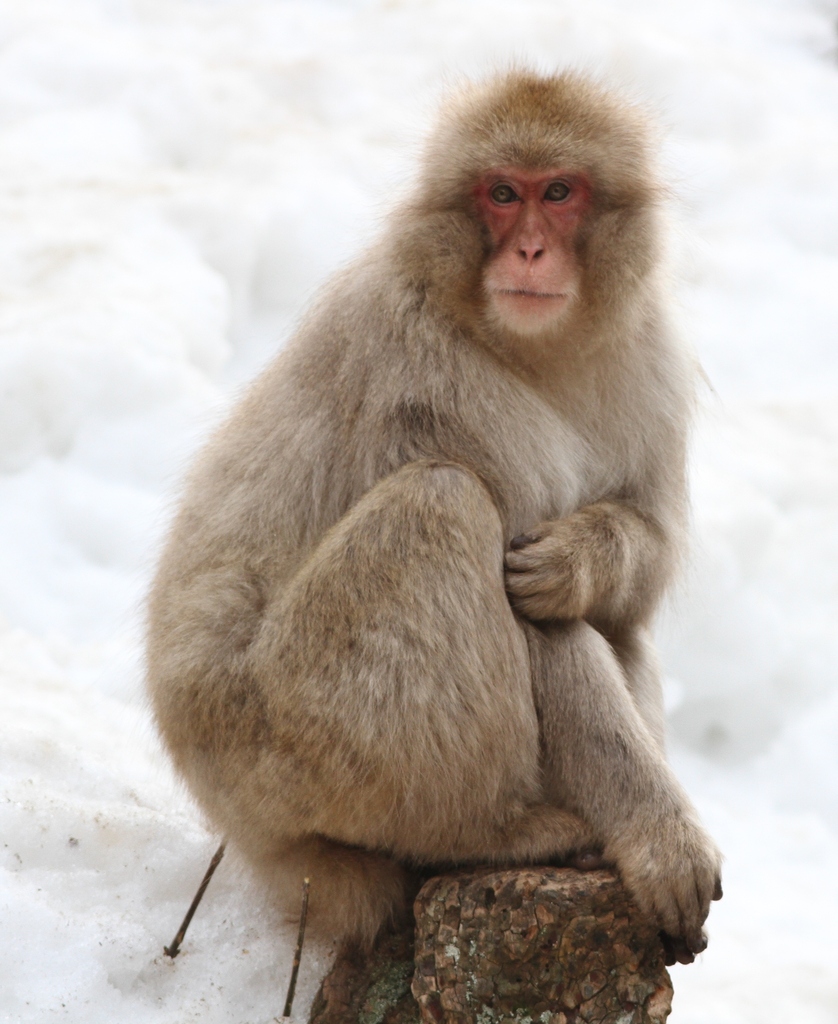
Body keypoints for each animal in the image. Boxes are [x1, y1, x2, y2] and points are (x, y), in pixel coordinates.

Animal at [143, 68, 717, 962]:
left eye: (559, 192)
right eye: (501, 194)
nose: (529, 250)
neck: (531, 346)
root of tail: (250, 842)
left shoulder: (647, 351)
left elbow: (638, 565)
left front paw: (575, 560)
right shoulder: (420, 371)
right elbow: (536, 628)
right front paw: (661, 839)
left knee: (618, 625)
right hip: (287, 744)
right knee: (439, 501)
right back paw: (487, 830)